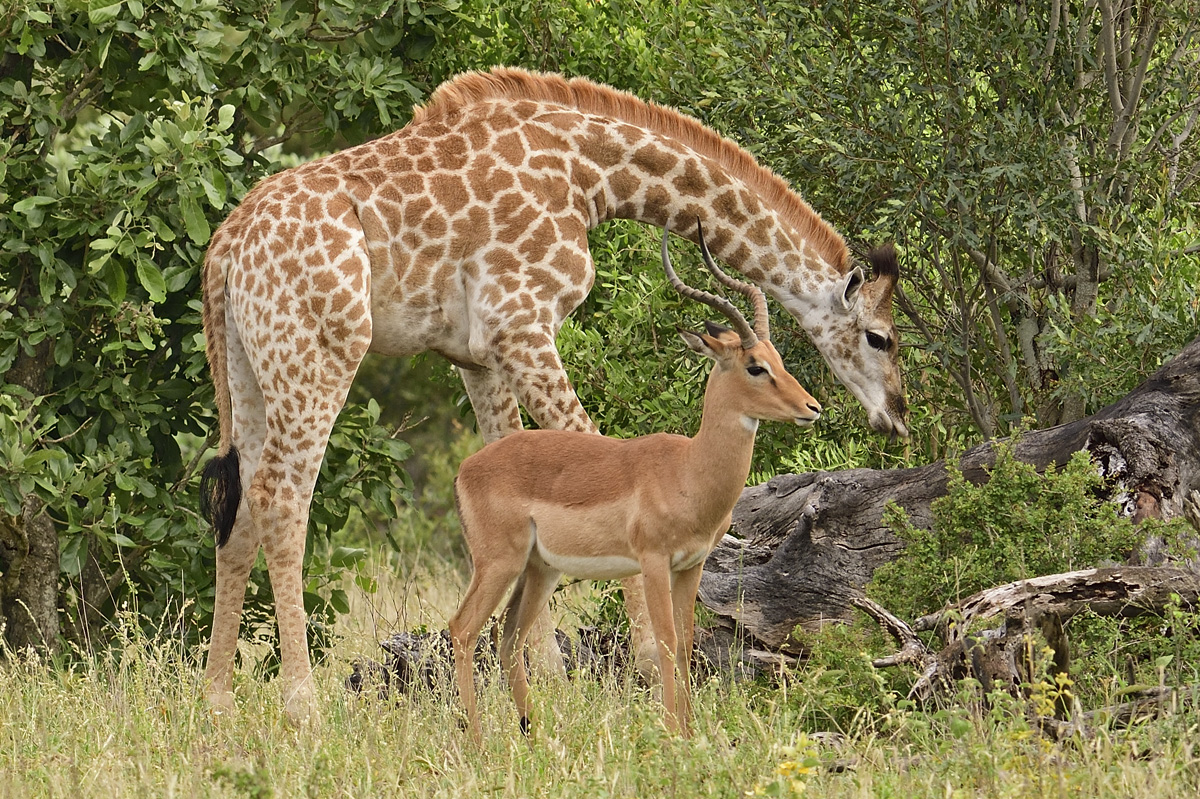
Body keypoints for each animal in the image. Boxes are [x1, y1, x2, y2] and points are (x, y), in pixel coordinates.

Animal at [448, 221, 822, 742]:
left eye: (778, 359)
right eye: (755, 367)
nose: (812, 408)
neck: (687, 469)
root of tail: (467, 469)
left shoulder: (691, 565)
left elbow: (686, 645)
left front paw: (689, 733)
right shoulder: (652, 561)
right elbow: (663, 642)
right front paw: (672, 736)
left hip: (539, 568)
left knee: (508, 639)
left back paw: (532, 735)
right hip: (498, 563)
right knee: (462, 630)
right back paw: (478, 744)